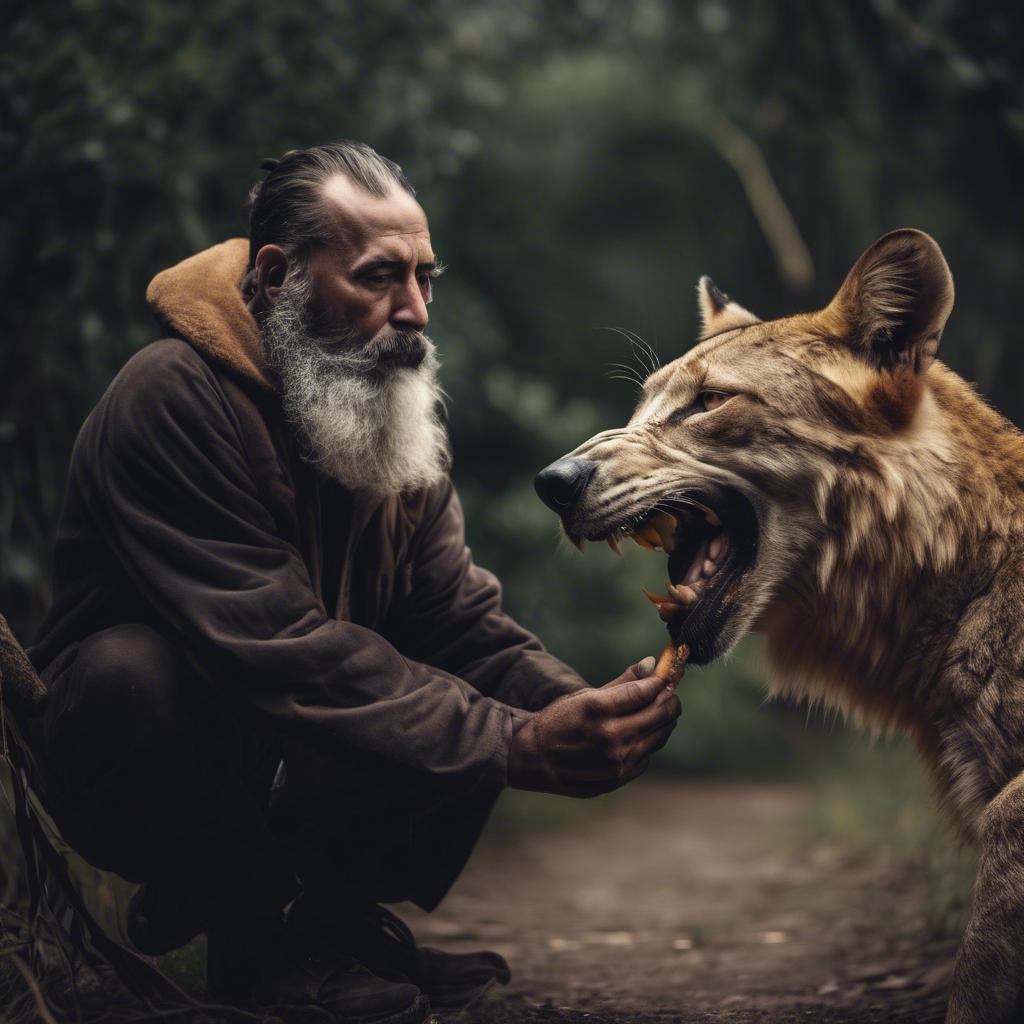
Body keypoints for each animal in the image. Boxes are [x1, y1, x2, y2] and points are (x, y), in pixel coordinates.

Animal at [532, 232, 1024, 1024]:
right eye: (640, 406)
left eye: (708, 402)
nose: (551, 482)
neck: (964, 573)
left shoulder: (1010, 813)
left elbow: (978, 971)